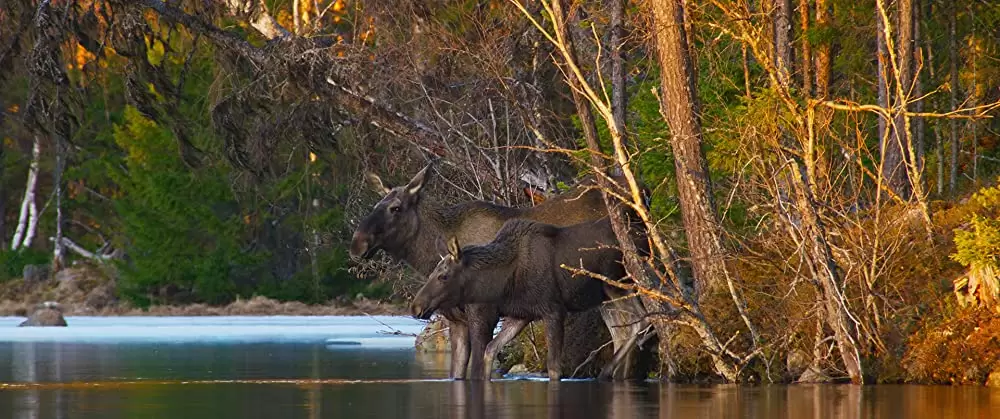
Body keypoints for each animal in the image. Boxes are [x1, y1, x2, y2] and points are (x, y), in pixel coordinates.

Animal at [408, 218, 624, 382]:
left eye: (443, 276)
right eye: (431, 273)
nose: (415, 307)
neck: (503, 284)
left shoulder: (553, 310)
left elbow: (554, 368)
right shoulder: (521, 315)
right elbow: (489, 352)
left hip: (616, 286)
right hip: (606, 300)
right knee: (621, 333)